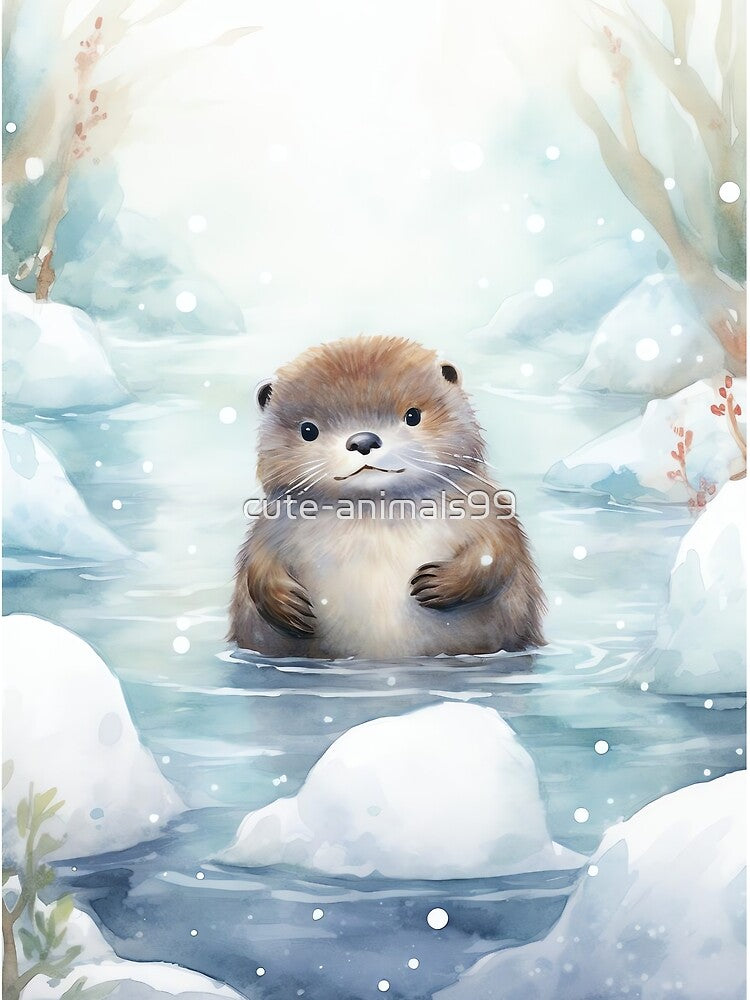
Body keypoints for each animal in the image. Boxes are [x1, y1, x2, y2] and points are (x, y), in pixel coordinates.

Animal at [229, 336, 545, 658]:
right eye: (308, 430)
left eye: (413, 415)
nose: (363, 441)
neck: (375, 512)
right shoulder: (270, 525)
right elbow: (258, 565)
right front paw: (289, 606)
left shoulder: (487, 507)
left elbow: (497, 551)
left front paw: (435, 583)